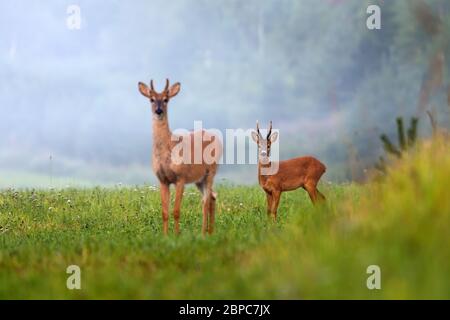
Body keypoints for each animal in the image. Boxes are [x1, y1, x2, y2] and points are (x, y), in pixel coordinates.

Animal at [137, 79, 221, 235]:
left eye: (166, 99)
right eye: (151, 99)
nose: (159, 111)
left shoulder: (181, 177)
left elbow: (176, 211)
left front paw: (176, 235)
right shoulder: (163, 180)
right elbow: (164, 212)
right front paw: (165, 236)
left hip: (211, 171)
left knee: (205, 201)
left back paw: (203, 233)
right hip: (199, 179)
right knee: (212, 196)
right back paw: (210, 232)